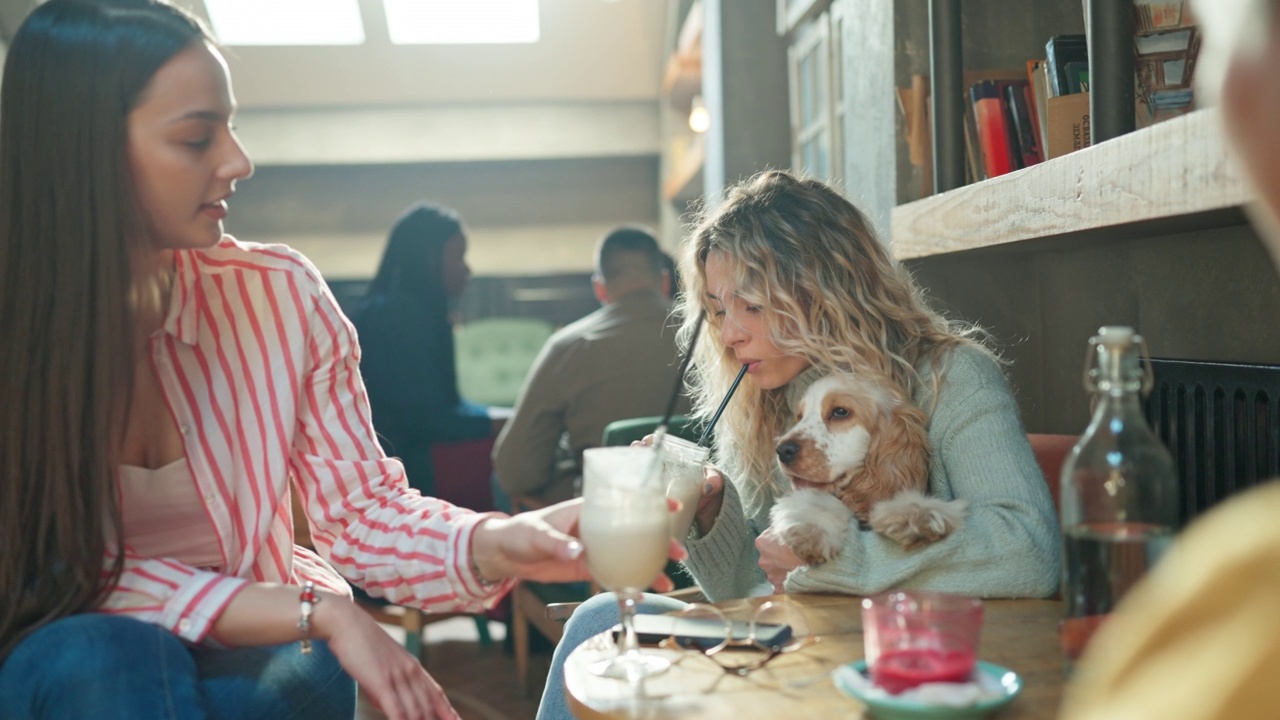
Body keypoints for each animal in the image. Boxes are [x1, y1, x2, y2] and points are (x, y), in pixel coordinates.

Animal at [762, 371, 962, 563]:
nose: (782, 450)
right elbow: (814, 497)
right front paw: (812, 530)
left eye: (840, 411)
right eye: (800, 417)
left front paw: (920, 515)